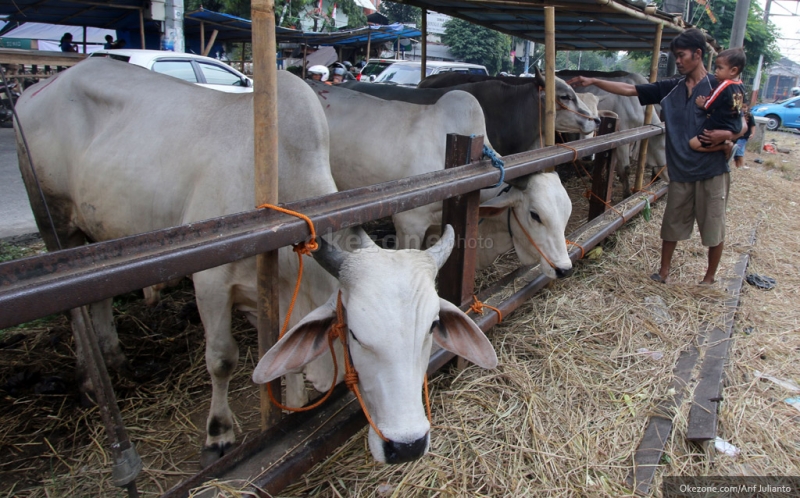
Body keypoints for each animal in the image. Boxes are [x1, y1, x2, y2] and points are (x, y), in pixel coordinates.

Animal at [15, 60, 496, 464]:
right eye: (356, 335)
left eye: (432, 328)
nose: (408, 445)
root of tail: (38, 88)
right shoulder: (209, 282)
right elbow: (222, 359)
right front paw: (219, 432)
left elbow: (288, 359)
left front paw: (295, 403)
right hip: (54, 225)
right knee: (77, 308)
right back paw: (88, 374)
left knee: (97, 302)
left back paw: (114, 358)